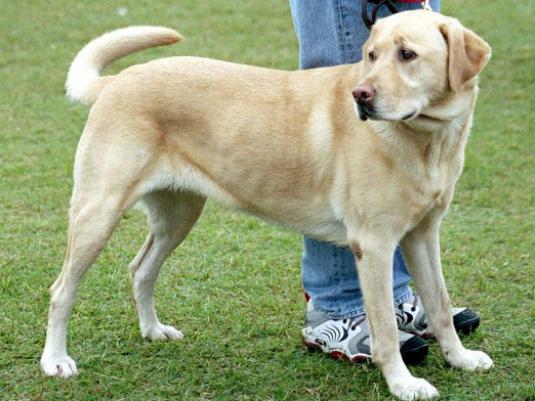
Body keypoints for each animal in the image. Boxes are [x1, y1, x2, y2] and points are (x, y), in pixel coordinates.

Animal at [40, 9, 494, 400]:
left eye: (407, 54)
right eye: (371, 55)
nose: (361, 95)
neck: (426, 140)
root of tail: (116, 82)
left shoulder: (422, 235)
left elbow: (440, 305)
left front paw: (460, 358)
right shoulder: (375, 244)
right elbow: (383, 329)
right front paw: (403, 384)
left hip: (178, 216)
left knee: (140, 270)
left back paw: (153, 331)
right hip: (99, 213)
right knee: (62, 290)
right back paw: (55, 360)